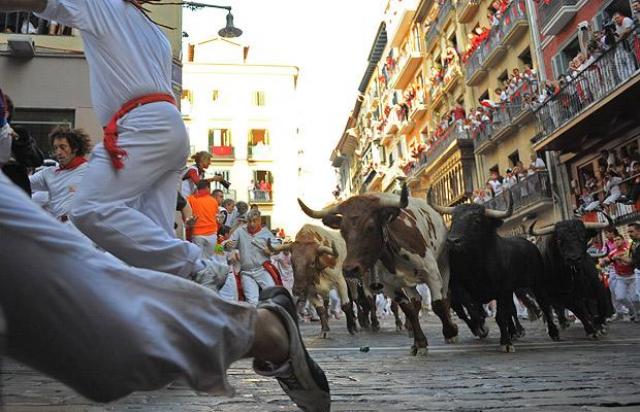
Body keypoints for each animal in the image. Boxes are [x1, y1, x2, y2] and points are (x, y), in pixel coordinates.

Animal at [298, 185, 458, 356]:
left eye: (370, 227)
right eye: (343, 231)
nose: (350, 269)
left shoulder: (432, 274)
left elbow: (438, 304)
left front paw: (450, 332)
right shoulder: (390, 286)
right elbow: (408, 309)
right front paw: (420, 343)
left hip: (443, 264)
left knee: (446, 295)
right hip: (407, 283)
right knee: (416, 301)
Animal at [430, 188, 544, 352]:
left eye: (477, 220)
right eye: (453, 219)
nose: (452, 241)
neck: (478, 266)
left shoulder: (504, 290)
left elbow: (502, 315)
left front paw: (506, 342)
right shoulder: (458, 288)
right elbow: (470, 307)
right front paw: (480, 325)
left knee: (511, 310)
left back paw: (517, 331)